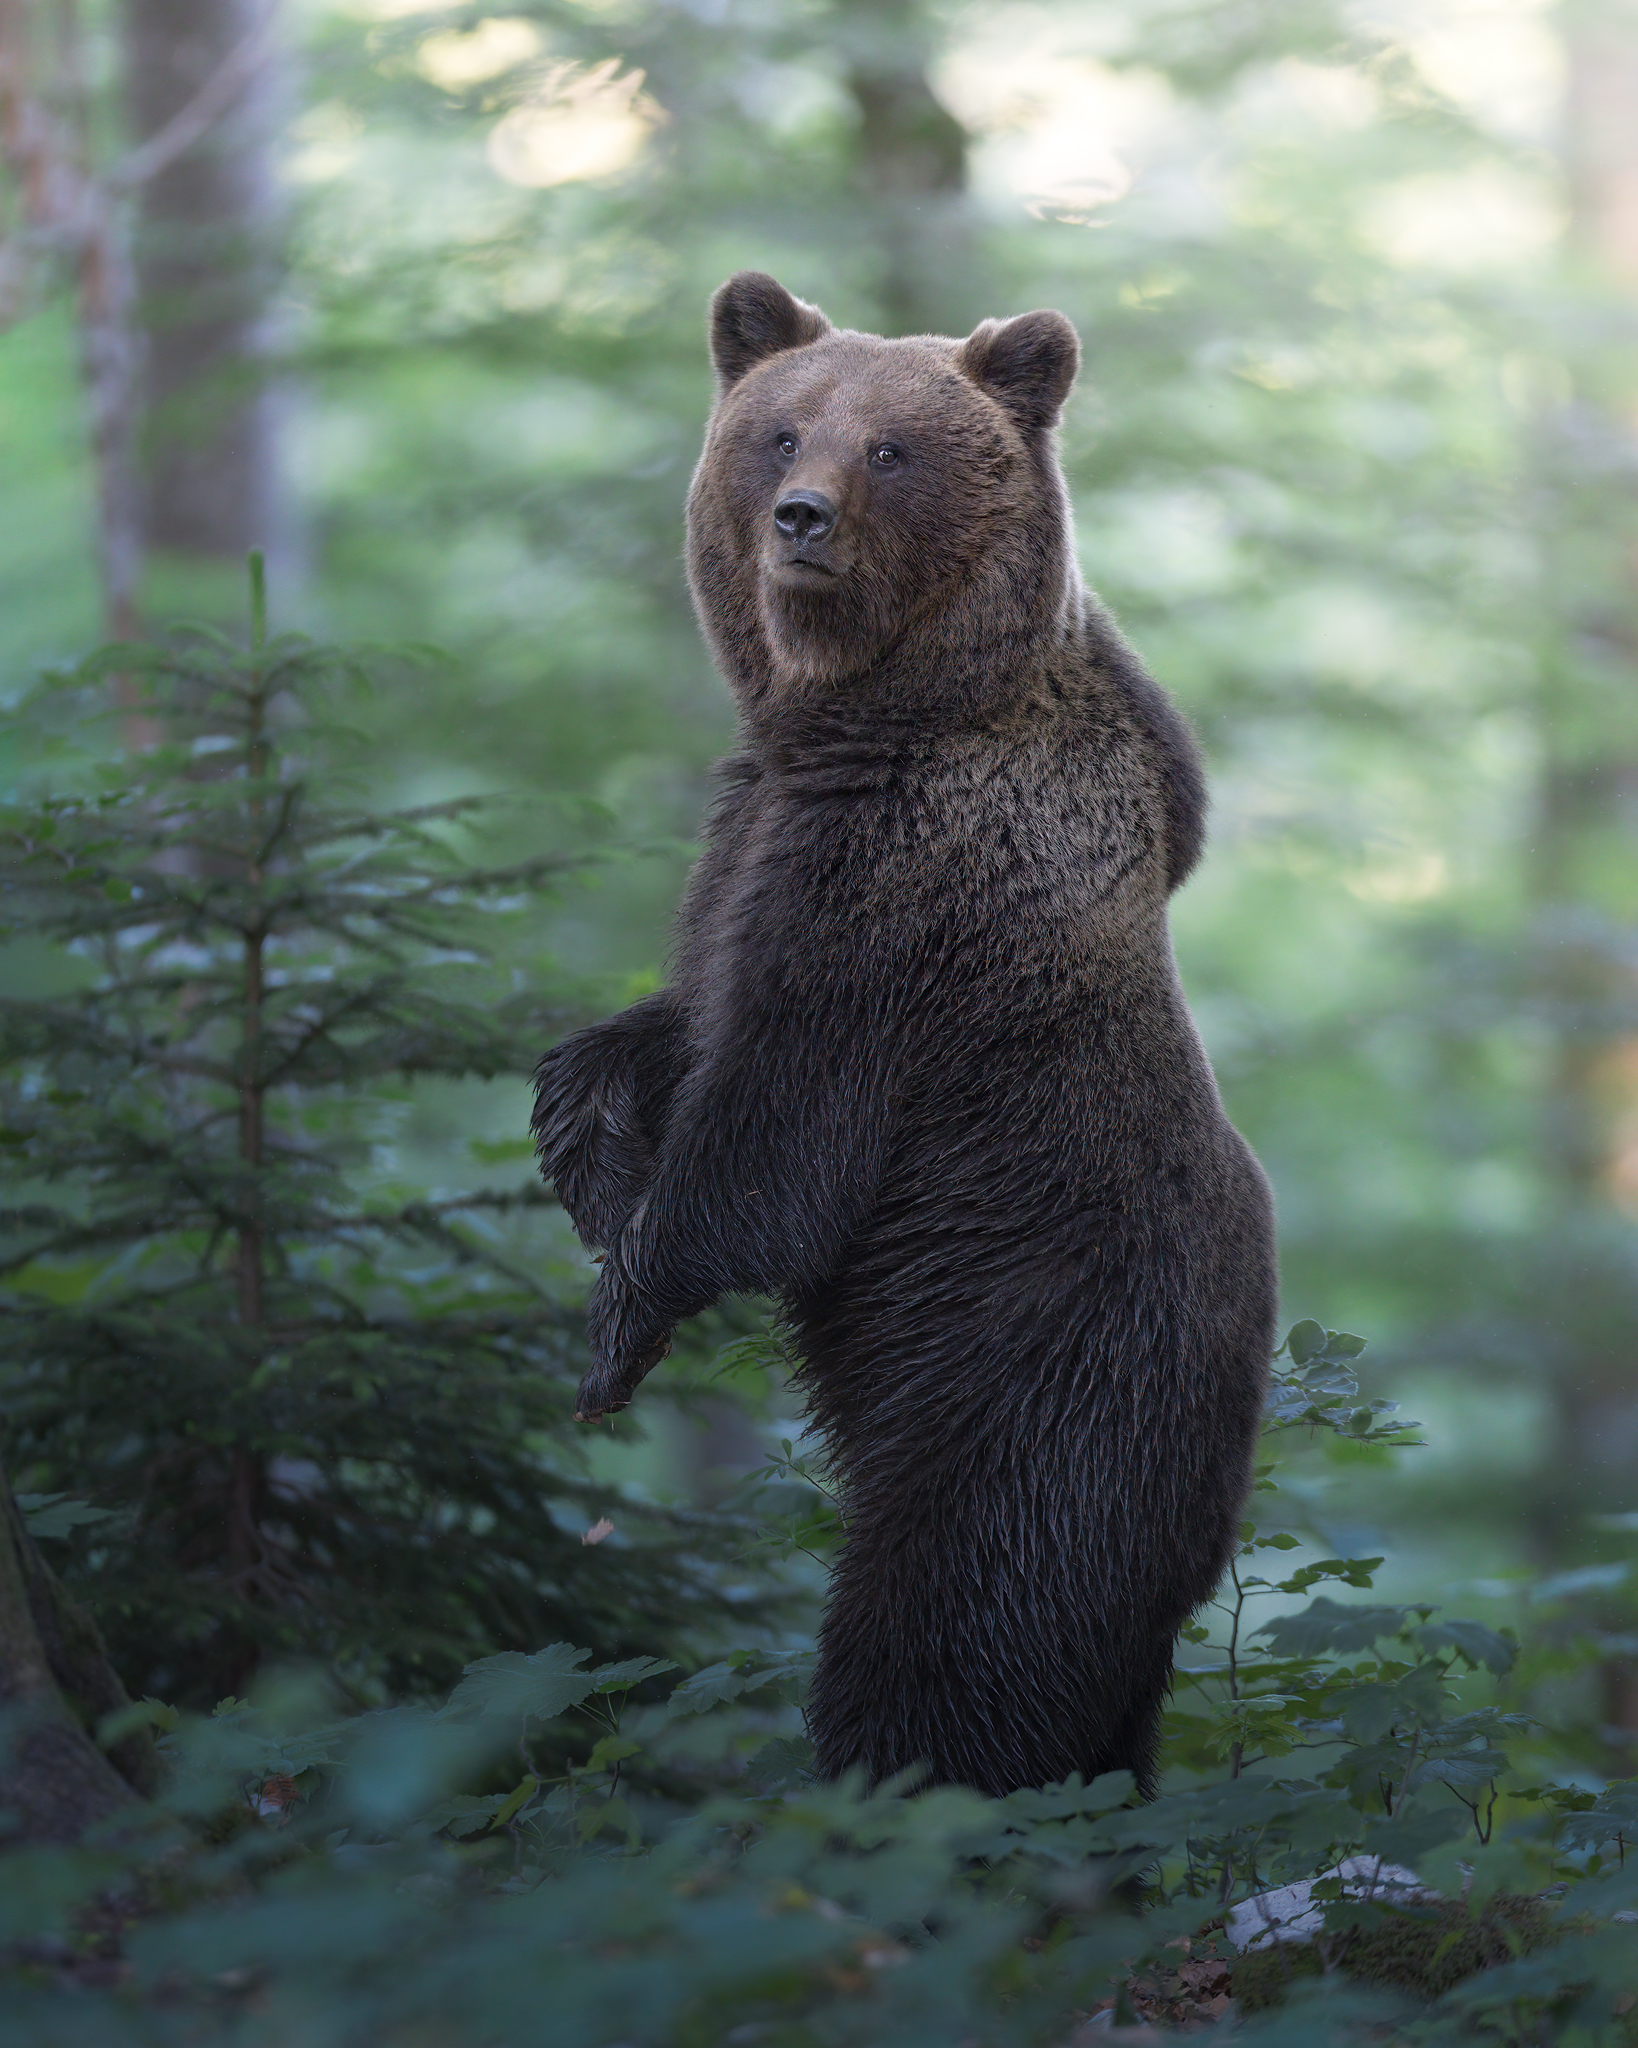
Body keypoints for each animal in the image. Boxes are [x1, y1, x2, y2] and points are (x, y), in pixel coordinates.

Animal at [532, 271, 1277, 1799]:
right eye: (780, 429)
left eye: (891, 447)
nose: (800, 516)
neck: (860, 713)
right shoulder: (751, 833)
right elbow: (677, 1018)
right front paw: (581, 1130)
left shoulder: (894, 902)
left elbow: (775, 1158)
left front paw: (616, 1325)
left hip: (1037, 1393)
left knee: (954, 1634)